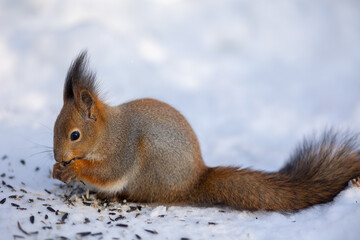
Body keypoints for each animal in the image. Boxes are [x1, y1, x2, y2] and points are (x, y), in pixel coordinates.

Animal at [52, 51, 360, 211]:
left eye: (75, 135)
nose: (58, 157)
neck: (106, 133)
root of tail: (195, 180)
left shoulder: (121, 148)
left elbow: (108, 172)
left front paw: (74, 169)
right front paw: (58, 171)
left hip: (152, 169)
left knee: (144, 196)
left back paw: (116, 196)